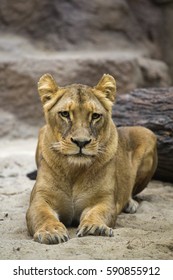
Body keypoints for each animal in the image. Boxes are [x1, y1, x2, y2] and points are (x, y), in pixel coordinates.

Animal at [26, 73, 157, 244]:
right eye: (65, 114)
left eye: (95, 116)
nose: (81, 142)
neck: (74, 170)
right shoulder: (40, 199)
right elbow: (42, 215)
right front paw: (51, 231)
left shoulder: (103, 200)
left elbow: (98, 213)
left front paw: (95, 228)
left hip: (147, 133)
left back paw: (130, 204)